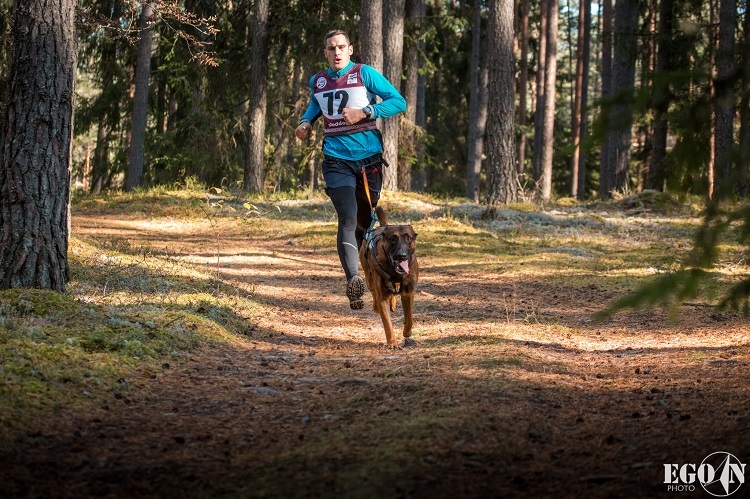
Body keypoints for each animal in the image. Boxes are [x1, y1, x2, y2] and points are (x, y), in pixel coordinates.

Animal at [360, 207, 420, 348]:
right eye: (393, 239)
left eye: (409, 238)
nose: (401, 255)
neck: (396, 273)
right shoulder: (382, 297)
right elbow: (387, 323)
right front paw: (392, 342)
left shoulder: (409, 293)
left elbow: (409, 316)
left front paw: (407, 332)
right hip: (369, 279)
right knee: (374, 293)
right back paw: (377, 306)